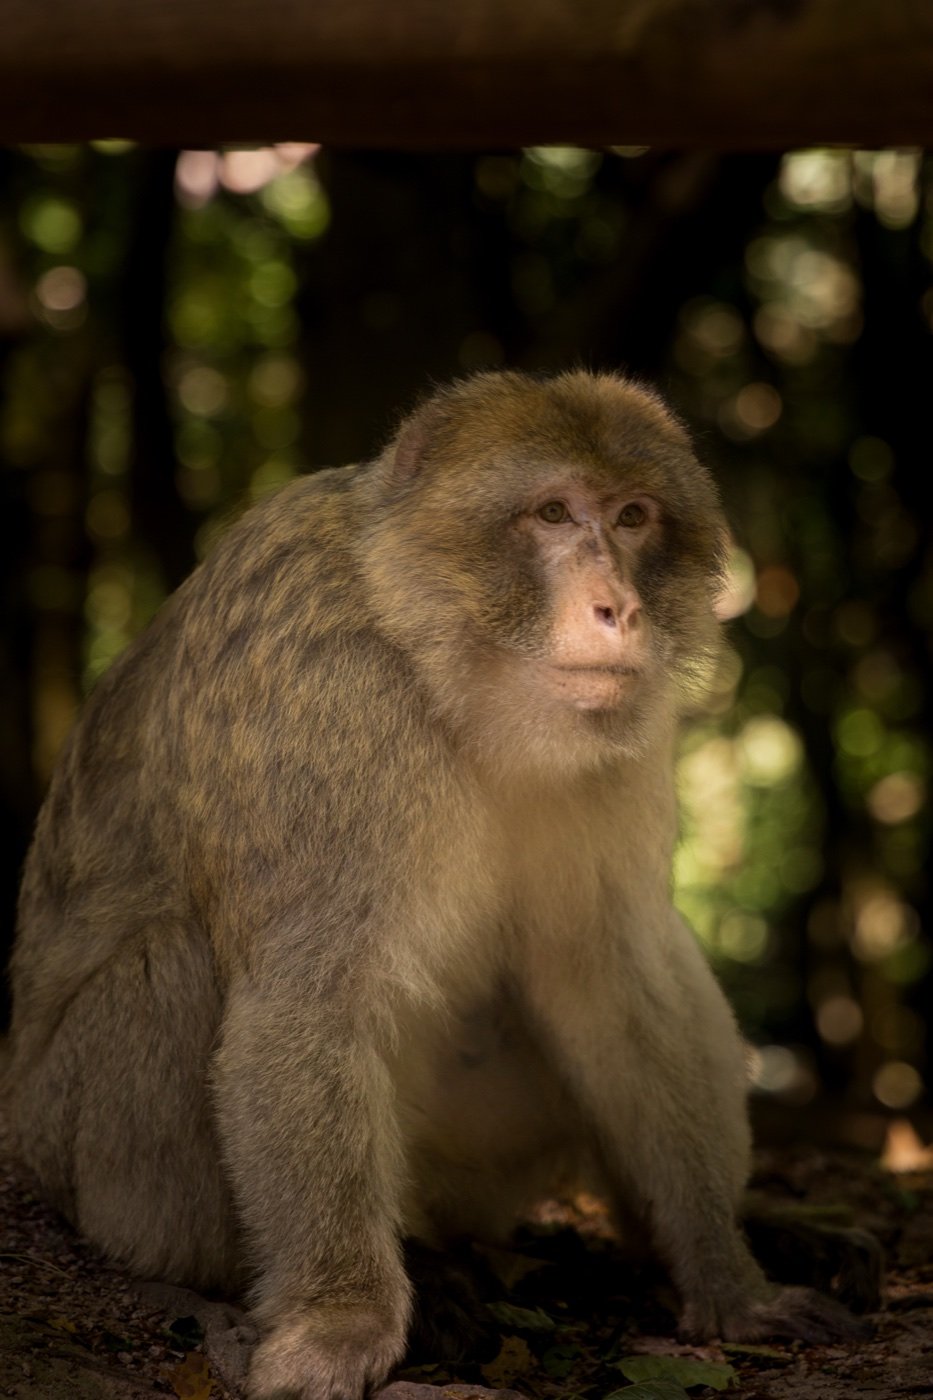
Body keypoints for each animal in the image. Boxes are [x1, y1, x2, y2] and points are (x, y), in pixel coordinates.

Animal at [5, 370, 861, 1400]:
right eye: (550, 513)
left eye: (631, 516)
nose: (620, 608)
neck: (431, 647)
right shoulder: (329, 692)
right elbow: (308, 993)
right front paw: (339, 1320)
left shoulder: (623, 727)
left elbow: (612, 976)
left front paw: (726, 1276)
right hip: (95, 1163)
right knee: (168, 971)